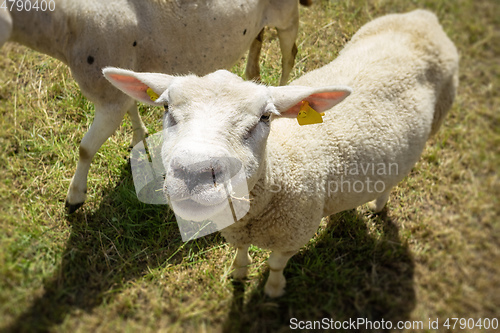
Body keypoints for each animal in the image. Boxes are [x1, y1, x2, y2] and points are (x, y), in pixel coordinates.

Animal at [0, 0, 308, 213]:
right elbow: (132, 103)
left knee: (288, 54)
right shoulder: (121, 79)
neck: (62, 24)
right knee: (258, 38)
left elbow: (85, 148)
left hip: (285, 14)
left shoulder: (108, 101)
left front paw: (75, 197)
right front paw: (139, 136)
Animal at [103, 9, 458, 296]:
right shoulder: (237, 230)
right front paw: (239, 274)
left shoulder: (293, 236)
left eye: (264, 117)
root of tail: (423, 16)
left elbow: (275, 265)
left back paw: (379, 203)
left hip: (440, 114)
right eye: (166, 108)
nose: (195, 172)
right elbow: (241, 252)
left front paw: (273, 290)